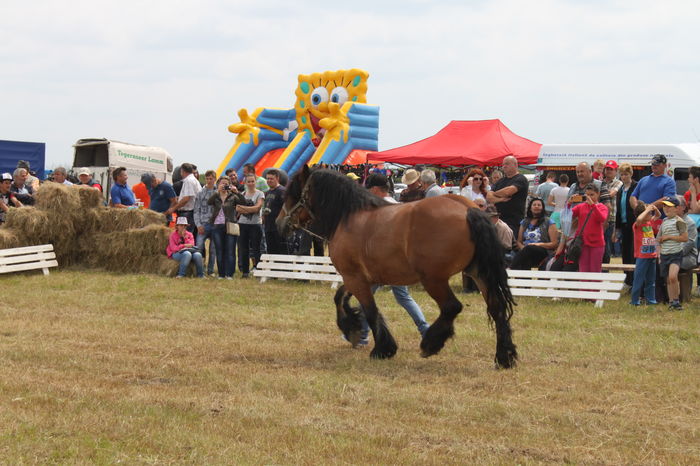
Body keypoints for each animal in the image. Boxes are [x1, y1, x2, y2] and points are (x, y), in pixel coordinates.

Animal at [277, 166, 518, 368]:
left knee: (452, 307)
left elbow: (370, 310)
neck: (350, 217)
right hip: (479, 274)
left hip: (434, 279)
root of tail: (468, 210)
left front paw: (382, 348)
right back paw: (504, 357)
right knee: (497, 309)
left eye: (292, 193)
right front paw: (353, 329)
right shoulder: (363, 278)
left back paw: (430, 343)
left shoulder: (354, 277)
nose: (279, 223)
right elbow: (341, 298)